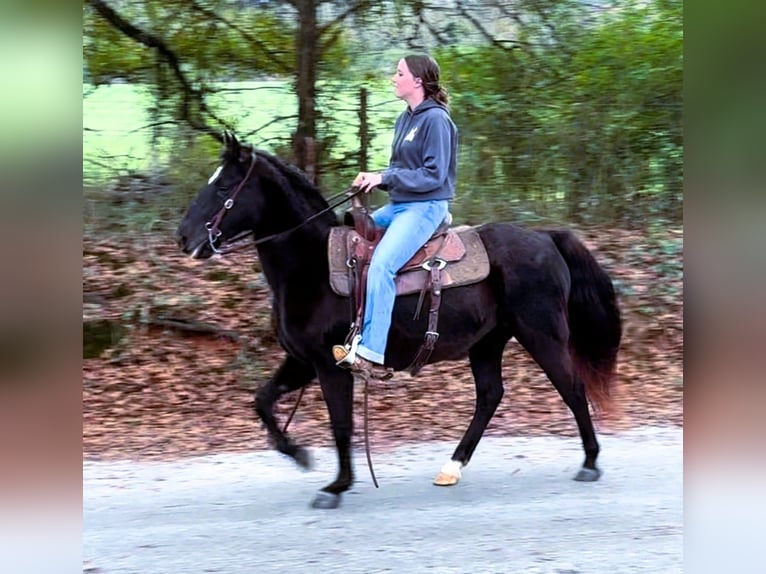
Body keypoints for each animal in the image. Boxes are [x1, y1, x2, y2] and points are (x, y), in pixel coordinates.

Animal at [177, 134, 620, 508]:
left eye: (223, 187)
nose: (183, 237)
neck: (310, 266)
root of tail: (546, 238)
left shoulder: (329, 365)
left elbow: (341, 424)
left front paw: (336, 486)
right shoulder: (302, 361)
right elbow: (263, 401)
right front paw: (299, 455)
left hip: (541, 335)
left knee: (572, 388)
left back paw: (590, 463)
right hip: (488, 343)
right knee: (490, 396)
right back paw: (452, 467)